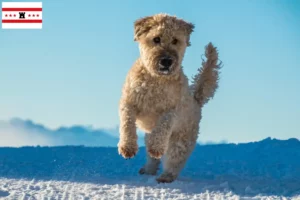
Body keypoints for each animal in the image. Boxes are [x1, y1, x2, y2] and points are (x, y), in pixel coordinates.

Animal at [118, 13, 221, 183]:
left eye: (175, 40)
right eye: (156, 39)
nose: (166, 61)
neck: (156, 80)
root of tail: (196, 100)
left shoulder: (172, 110)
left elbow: (163, 125)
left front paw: (156, 148)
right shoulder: (128, 102)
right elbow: (127, 123)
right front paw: (127, 147)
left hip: (181, 140)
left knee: (174, 160)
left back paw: (165, 176)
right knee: (152, 158)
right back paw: (148, 169)